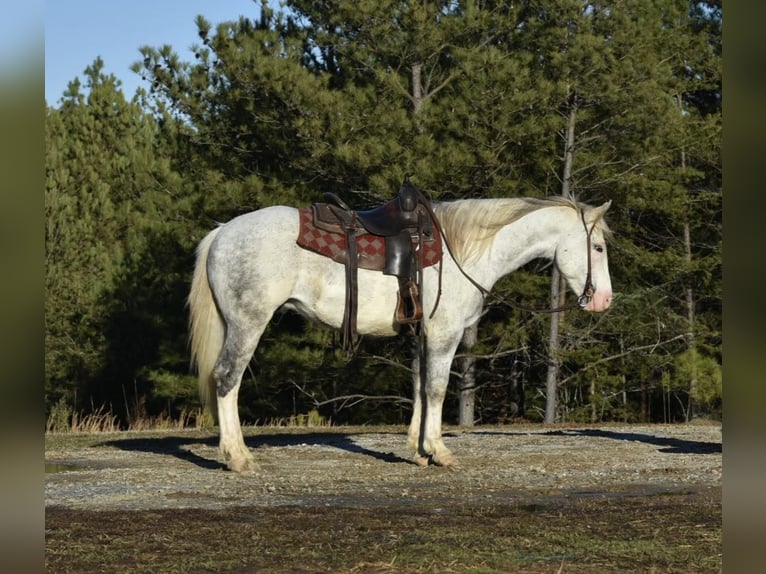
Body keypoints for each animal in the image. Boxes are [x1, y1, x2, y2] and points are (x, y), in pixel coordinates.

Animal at [189, 196, 616, 474]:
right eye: (597, 246)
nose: (604, 300)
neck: (463, 252)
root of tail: (222, 233)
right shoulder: (444, 332)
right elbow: (437, 389)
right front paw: (440, 452)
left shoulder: (422, 335)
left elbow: (419, 387)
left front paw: (418, 450)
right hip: (248, 324)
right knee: (227, 379)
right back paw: (239, 457)